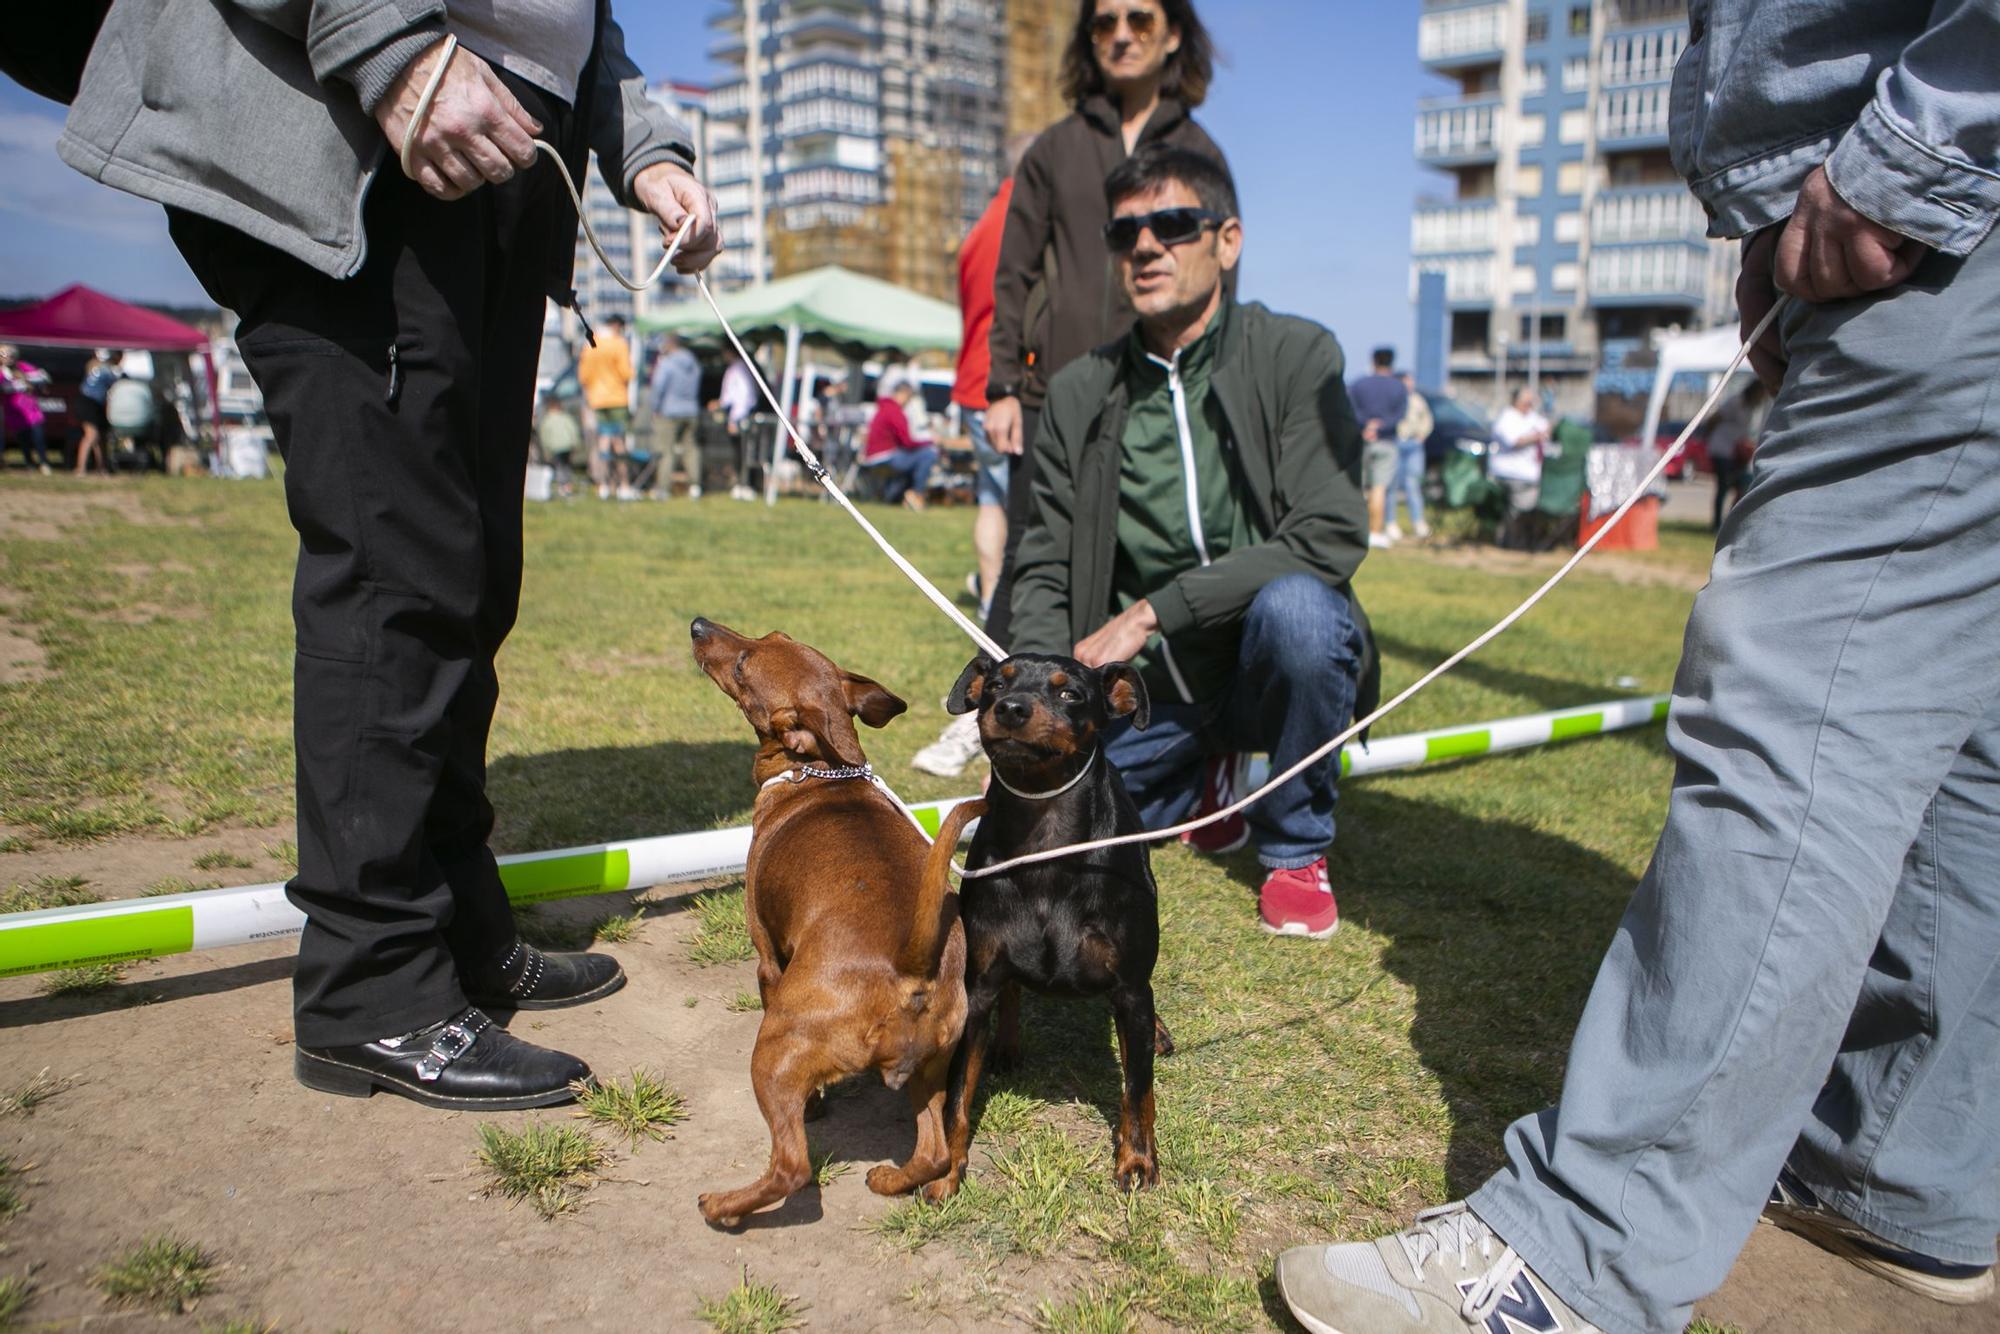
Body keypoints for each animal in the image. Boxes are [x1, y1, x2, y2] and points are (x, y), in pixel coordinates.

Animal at [684, 620, 980, 1224]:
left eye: (744, 665)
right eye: (770, 634)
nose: (700, 625)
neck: (824, 772)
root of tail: (911, 967)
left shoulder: (769, 962)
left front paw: (816, 1107)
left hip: (773, 1049)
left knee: (791, 1168)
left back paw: (723, 1204)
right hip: (931, 1070)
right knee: (935, 1150)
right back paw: (892, 1181)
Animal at [920, 648, 1168, 1200]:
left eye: (1070, 692)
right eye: (994, 685)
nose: (1011, 708)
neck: (1046, 840)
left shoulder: (1130, 989)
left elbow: (1137, 1087)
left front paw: (1138, 1160)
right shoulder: (976, 987)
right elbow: (957, 1097)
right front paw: (947, 1170)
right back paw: (1007, 1045)